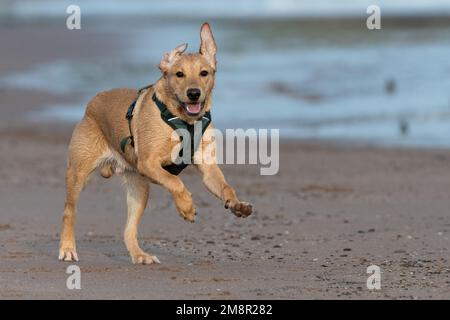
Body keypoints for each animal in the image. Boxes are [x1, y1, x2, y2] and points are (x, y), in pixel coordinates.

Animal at [59, 23, 253, 264]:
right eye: (179, 74)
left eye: (204, 73)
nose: (194, 93)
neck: (183, 120)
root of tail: (93, 102)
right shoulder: (149, 163)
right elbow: (175, 181)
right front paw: (187, 207)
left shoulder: (208, 167)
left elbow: (226, 187)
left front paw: (238, 205)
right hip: (78, 174)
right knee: (69, 212)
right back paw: (67, 249)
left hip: (139, 190)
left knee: (129, 230)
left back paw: (140, 256)